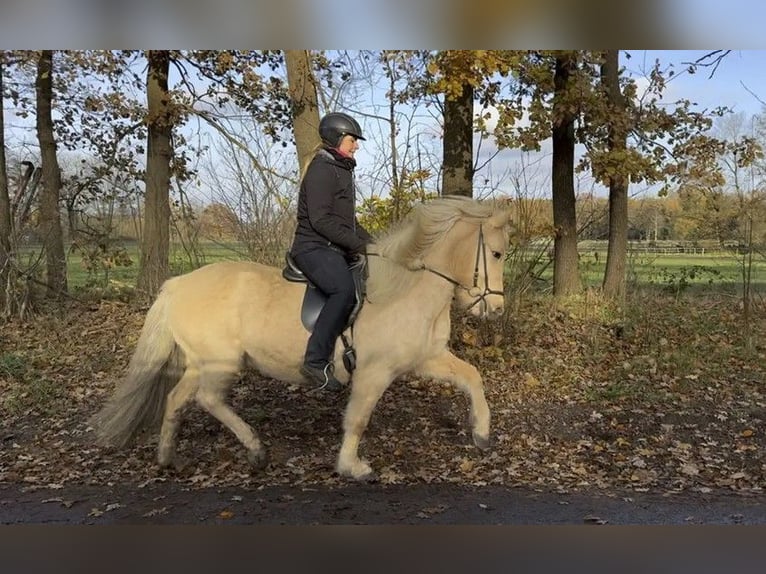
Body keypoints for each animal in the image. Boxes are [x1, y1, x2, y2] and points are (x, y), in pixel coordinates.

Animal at [93, 196, 516, 484]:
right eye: (496, 253)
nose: (494, 309)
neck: (405, 288)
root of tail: (175, 286)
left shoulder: (426, 358)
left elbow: (472, 378)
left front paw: (481, 434)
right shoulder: (374, 372)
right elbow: (358, 419)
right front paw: (352, 467)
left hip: (200, 363)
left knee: (177, 399)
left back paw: (169, 458)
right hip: (220, 363)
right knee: (208, 399)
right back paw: (256, 450)